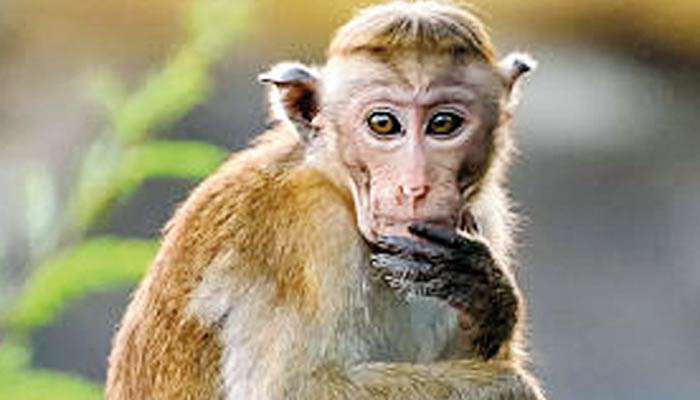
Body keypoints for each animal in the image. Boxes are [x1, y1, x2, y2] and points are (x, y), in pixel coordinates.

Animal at [106, 1, 543, 399]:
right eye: (383, 124)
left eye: (444, 124)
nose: (415, 187)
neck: (338, 185)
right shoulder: (310, 231)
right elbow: (293, 389)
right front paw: (506, 385)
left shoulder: (482, 217)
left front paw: (490, 299)